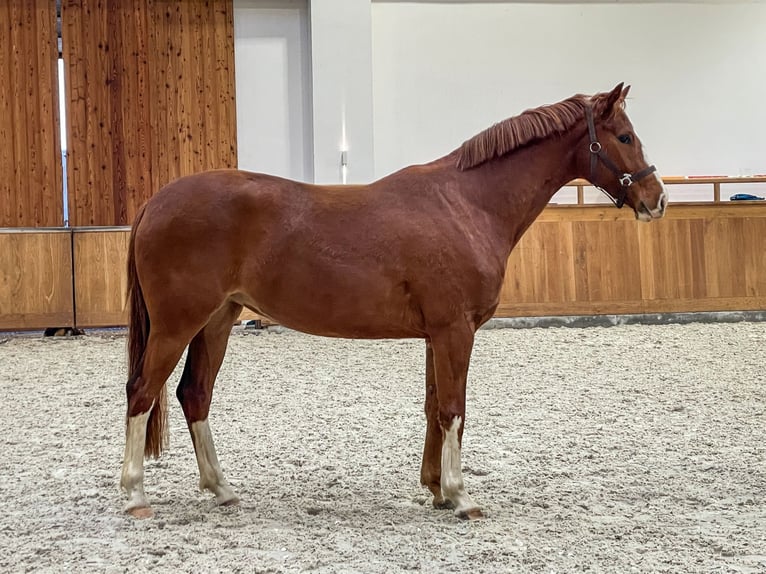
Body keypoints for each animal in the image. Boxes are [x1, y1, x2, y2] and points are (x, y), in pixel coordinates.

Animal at [120, 83, 667, 520]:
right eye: (624, 137)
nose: (657, 200)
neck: (466, 204)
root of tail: (155, 202)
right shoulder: (455, 330)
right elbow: (453, 408)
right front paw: (461, 497)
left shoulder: (436, 335)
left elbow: (433, 406)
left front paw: (436, 490)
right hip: (177, 324)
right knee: (141, 392)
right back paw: (135, 496)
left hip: (217, 320)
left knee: (194, 395)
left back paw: (223, 490)